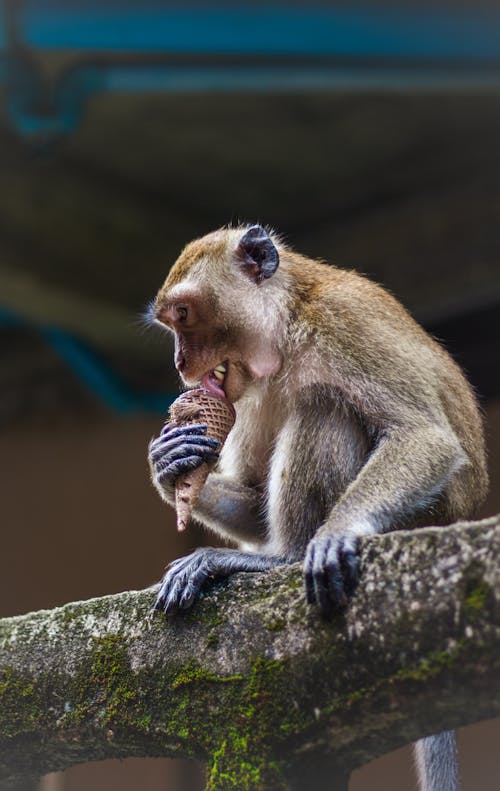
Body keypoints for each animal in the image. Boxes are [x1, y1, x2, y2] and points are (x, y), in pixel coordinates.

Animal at [146, 224, 486, 791]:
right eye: (171, 323)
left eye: (185, 315)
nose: (178, 363)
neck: (287, 333)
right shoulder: (248, 393)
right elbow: (251, 495)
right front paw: (171, 464)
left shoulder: (345, 324)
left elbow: (424, 437)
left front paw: (336, 532)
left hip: (417, 518)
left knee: (325, 405)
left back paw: (277, 558)